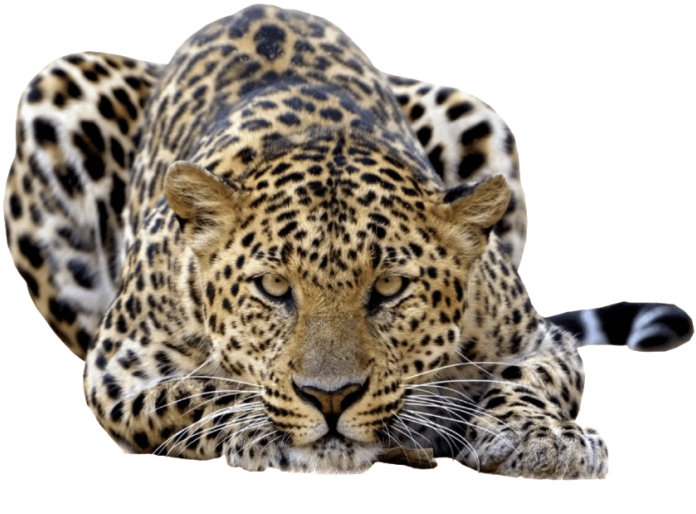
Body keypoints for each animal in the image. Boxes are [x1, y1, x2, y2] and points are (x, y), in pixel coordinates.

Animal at [3, 3, 694, 479]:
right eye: (273, 288)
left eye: (388, 289)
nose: (330, 399)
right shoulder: (119, 367)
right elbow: (196, 391)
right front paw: (260, 427)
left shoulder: (535, 338)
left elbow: (532, 377)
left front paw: (541, 438)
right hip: (58, 86)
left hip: (475, 113)